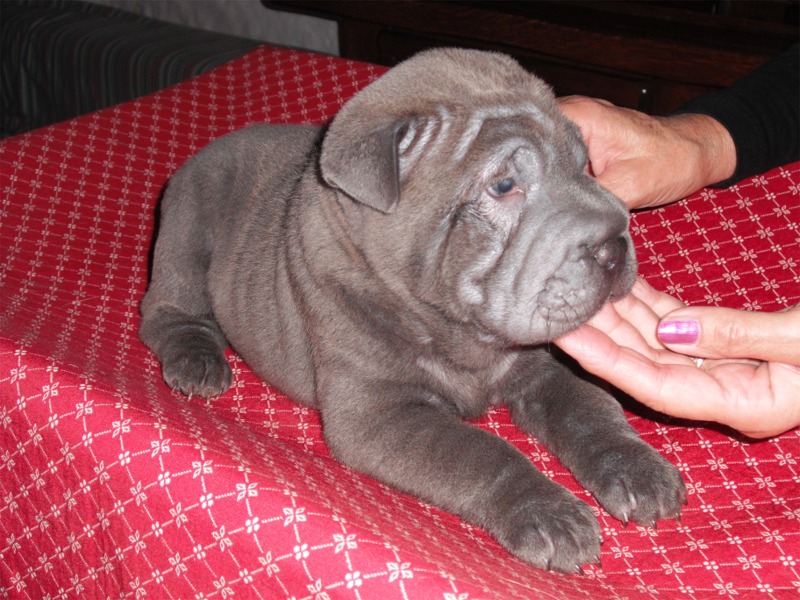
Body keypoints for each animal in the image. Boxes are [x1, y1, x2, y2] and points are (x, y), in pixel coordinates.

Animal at [139, 48, 686, 573]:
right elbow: (480, 452)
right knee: (164, 310)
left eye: (585, 164)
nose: (614, 247)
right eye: (503, 186)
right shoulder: (378, 413)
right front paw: (549, 515)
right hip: (188, 227)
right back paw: (197, 361)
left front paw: (638, 468)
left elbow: (588, 408)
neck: (456, 330)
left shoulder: (539, 366)